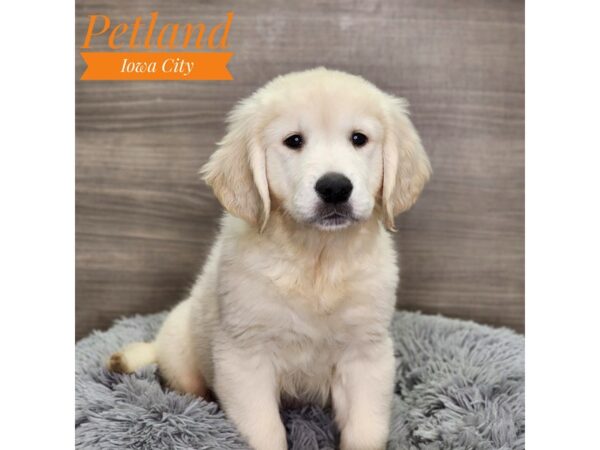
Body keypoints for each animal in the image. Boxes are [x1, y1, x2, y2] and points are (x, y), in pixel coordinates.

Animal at [108, 67, 432, 450]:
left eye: (359, 138)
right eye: (293, 141)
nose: (335, 188)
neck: (315, 258)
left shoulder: (367, 353)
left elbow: (365, 429)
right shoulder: (245, 356)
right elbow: (264, 430)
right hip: (180, 350)